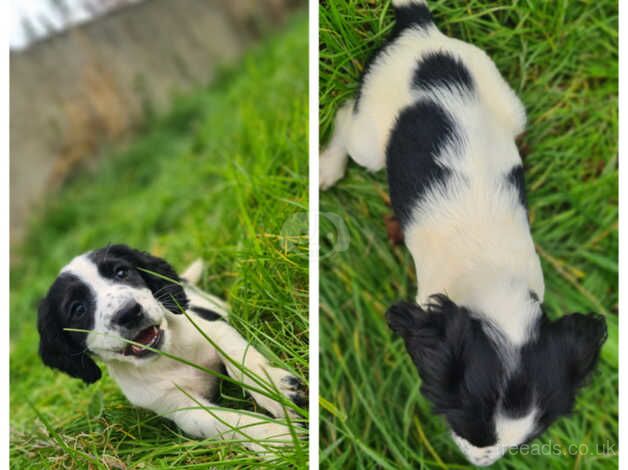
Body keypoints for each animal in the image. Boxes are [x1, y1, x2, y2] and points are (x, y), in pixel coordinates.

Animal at [36, 244, 306, 454]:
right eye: (78, 309)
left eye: (121, 272)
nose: (129, 313)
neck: (169, 357)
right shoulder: (183, 409)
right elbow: (229, 420)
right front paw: (276, 437)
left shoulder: (215, 330)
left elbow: (241, 362)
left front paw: (280, 393)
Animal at [322, 0, 604, 466]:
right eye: (468, 431)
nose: (480, 462)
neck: (494, 286)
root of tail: (425, 34)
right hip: (371, 136)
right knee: (347, 120)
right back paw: (328, 165)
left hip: (504, 97)